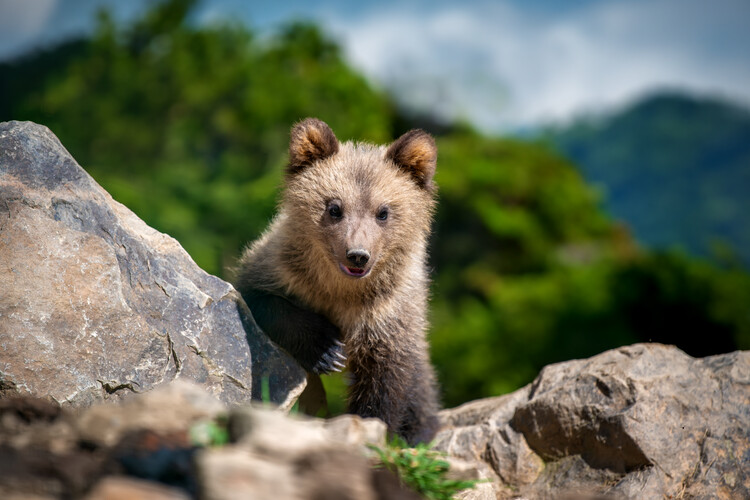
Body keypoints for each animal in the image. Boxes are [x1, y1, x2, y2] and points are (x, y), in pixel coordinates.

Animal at [235, 118, 440, 444]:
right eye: (334, 208)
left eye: (383, 212)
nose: (358, 255)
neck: (342, 291)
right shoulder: (280, 269)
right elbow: (263, 301)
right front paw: (327, 350)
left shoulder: (388, 313)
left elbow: (385, 381)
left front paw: (373, 427)